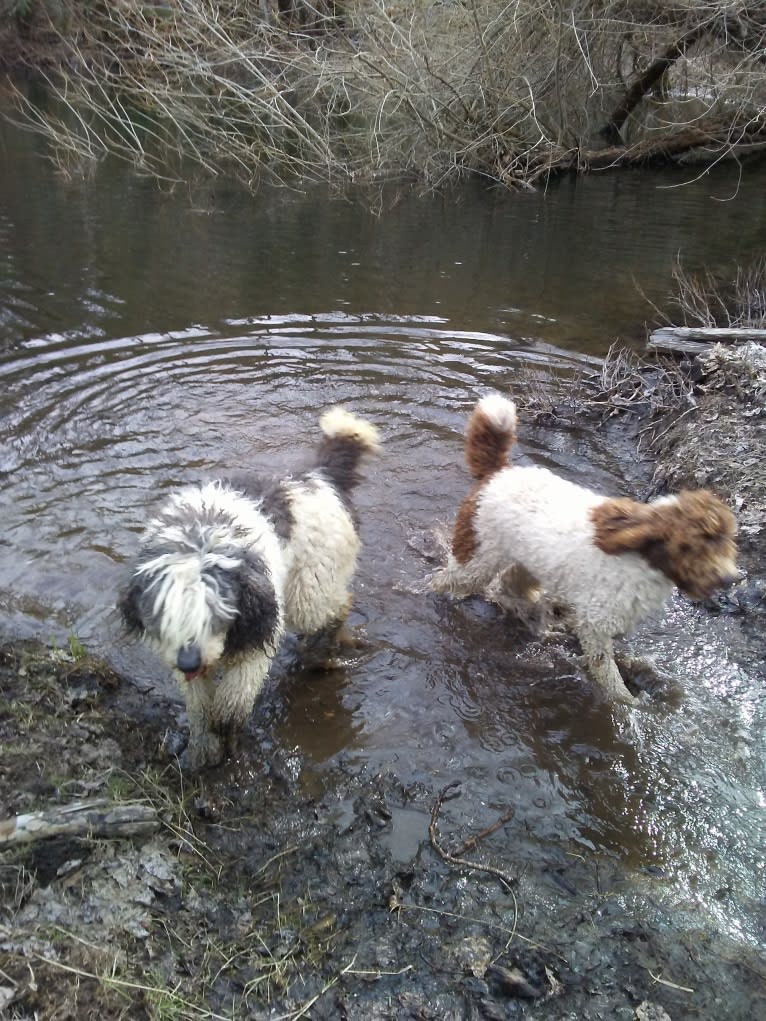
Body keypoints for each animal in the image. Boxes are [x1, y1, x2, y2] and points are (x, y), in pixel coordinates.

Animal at [120, 410, 381, 767]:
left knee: (338, 607)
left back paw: (322, 650)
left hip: (309, 588)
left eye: (212, 612)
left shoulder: (257, 633)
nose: (189, 663)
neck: (197, 544)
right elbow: (199, 708)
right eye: (164, 615)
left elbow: (232, 704)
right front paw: (203, 748)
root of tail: (319, 477)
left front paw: (228, 741)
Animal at [433, 394, 739, 706]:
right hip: (478, 559)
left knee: (508, 584)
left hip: (528, 562)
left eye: (727, 541)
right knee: (445, 580)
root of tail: (499, 474)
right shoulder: (596, 623)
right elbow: (606, 670)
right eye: (692, 546)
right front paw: (625, 701)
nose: (732, 578)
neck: (644, 557)